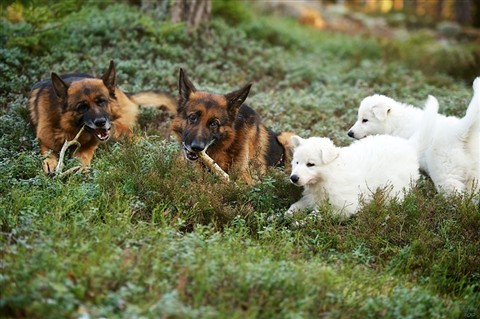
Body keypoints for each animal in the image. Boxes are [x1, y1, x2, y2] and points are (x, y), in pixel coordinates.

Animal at [29, 61, 176, 174]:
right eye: (82, 107)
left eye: (101, 101)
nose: (101, 122)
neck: (68, 128)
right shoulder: (45, 138)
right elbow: (47, 151)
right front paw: (50, 162)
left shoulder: (94, 141)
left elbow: (84, 152)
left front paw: (80, 164)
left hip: (120, 129)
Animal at [284, 96, 438, 219]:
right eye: (296, 162)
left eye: (310, 164)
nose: (293, 178)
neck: (329, 175)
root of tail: (407, 144)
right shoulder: (311, 197)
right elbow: (298, 204)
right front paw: (288, 214)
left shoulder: (344, 206)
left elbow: (319, 214)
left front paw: (302, 221)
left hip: (396, 187)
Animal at [348, 77, 480, 195]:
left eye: (365, 120)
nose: (349, 133)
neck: (395, 123)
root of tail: (460, 132)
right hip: (474, 175)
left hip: (446, 173)